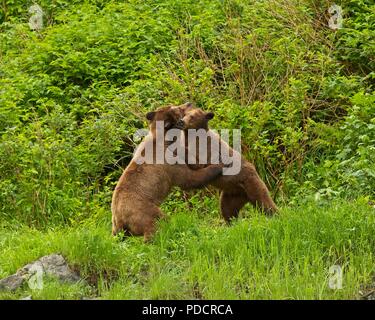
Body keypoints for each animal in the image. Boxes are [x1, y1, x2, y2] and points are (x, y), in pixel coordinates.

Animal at [110, 105, 225, 240]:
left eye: (175, 106)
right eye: (178, 109)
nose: (187, 103)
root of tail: (120, 219)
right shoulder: (169, 162)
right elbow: (189, 178)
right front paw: (218, 165)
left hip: (116, 227)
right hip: (144, 210)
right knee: (156, 223)